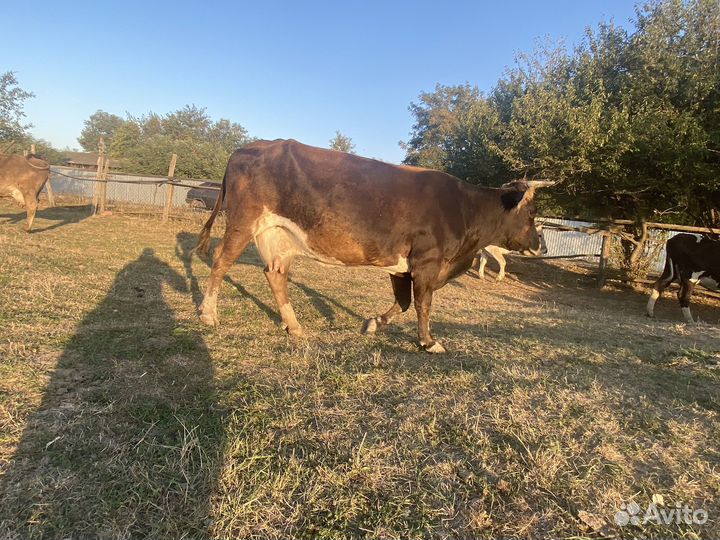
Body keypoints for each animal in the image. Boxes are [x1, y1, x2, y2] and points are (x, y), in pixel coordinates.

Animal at [194, 139, 553, 353]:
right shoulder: (427, 262)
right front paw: (429, 342)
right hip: (244, 221)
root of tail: (247, 148)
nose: (541, 246)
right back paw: (209, 314)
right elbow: (422, 304)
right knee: (221, 261)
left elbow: (403, 303)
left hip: (278, 234)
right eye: (532, 213)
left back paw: (294, 326)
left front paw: (373, 323)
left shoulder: (402, 266)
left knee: (275, 275)